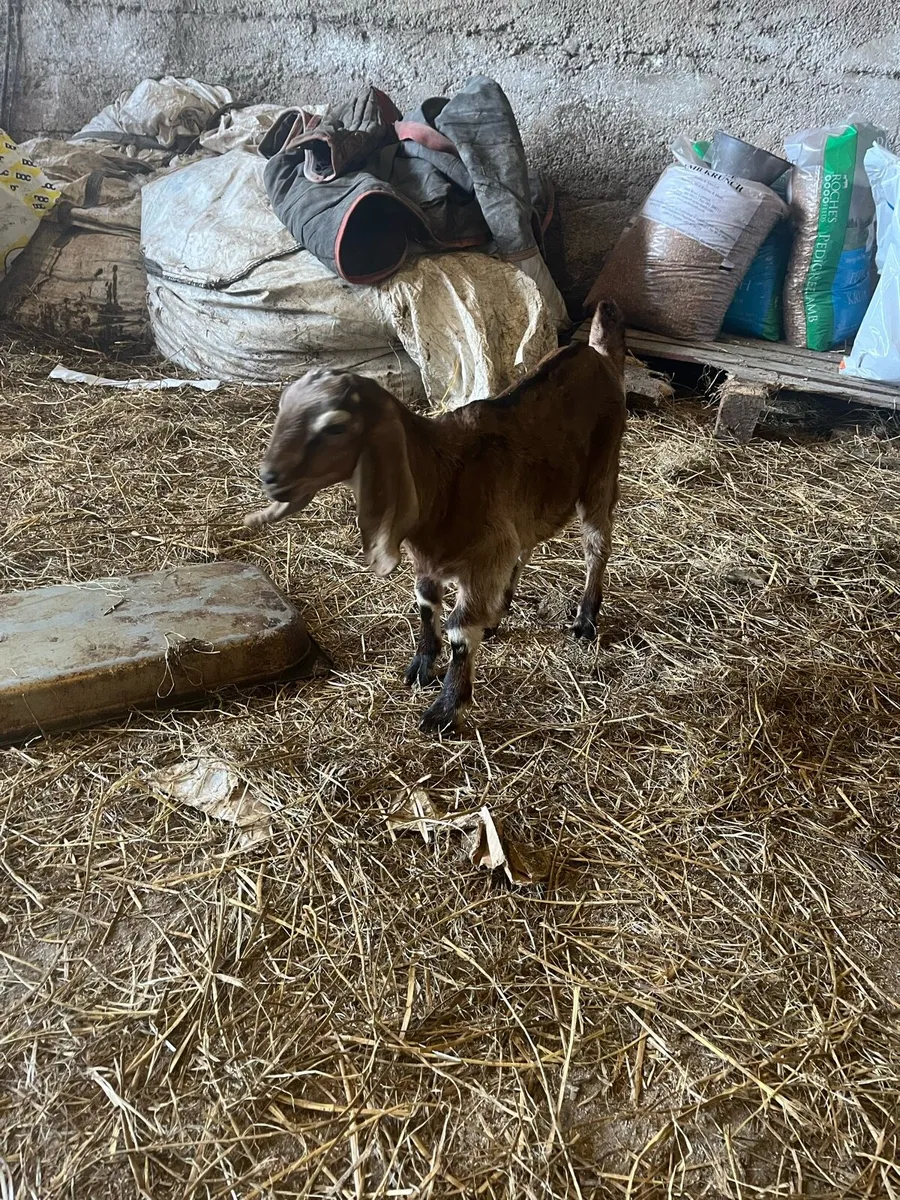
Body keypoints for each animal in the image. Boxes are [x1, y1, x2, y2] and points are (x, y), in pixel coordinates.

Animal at [245, 299, 627, 732]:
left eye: (335, 426)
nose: (270, 477)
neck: (445, 479)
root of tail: (596, 354)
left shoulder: (482, 559)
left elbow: (460, 630)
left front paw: (446, 709)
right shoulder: (432, 559)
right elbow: (427, 606)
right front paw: (422, 665)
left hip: (601, 474)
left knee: (597, 545)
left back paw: (585, 620)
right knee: (525, 546)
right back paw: (499, 613)